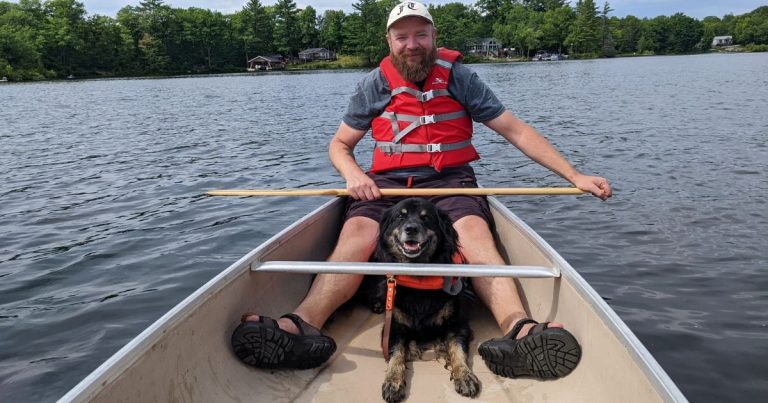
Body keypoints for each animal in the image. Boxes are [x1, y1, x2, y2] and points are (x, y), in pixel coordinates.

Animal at [360, 199, 480, 403]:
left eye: (426, 218)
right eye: (400, 216)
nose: (411, 229)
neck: (419, 276)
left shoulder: (458, 323)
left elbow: (457, 350)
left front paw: (464, 376)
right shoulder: (393, 326)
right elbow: (396, 355)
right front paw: (393, 381)